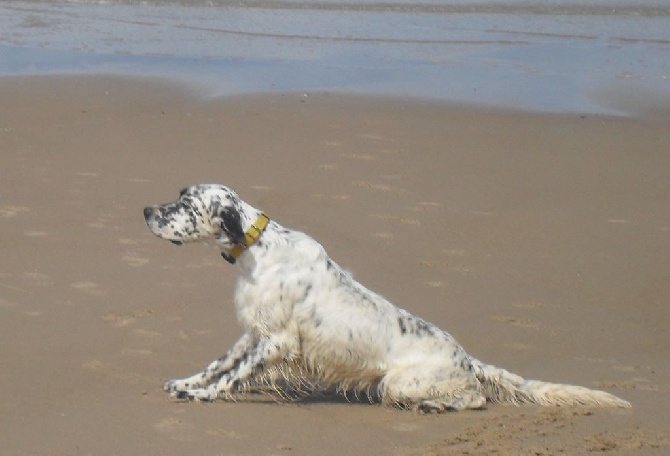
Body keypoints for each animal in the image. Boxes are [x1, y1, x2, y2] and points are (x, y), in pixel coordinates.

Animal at [144, 183, 632, 412]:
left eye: (186, 203)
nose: (147, 210)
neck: (258, 249)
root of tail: (466, 357)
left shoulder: (278, 341)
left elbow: (233, 375)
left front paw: (204, 396)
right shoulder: (253, 332)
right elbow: (218, 363)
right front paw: (186, 383)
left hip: (397, 383)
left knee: (476, 397)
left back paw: (437, 405)